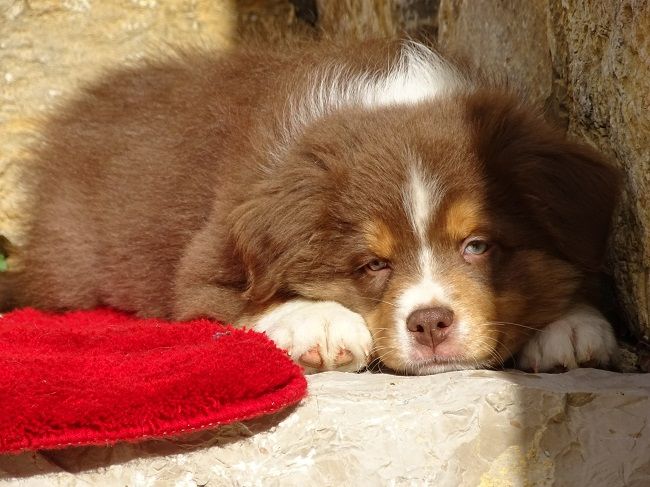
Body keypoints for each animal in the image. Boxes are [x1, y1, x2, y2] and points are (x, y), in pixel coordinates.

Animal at [1, 39, 621, 375]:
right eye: (372, 264)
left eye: (478, 246)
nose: (429, 323)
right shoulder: (202, 268)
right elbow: (254, 300)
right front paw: (321, 323)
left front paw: (573, 325)